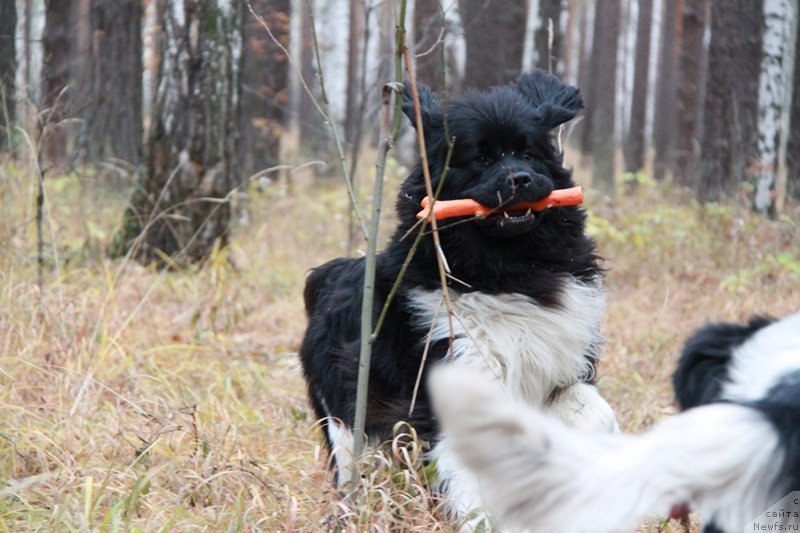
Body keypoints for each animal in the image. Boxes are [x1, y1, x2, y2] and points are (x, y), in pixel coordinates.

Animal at [300, 70, 620, 516]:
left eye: (527, 151)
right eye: (480, 158)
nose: (520, 179)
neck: (507, 270)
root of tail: (327, 274)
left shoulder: (561, 362)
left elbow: (592, 411)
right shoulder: (455, 365)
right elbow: (467, 474)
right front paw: (476, 517)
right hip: (346, 418)